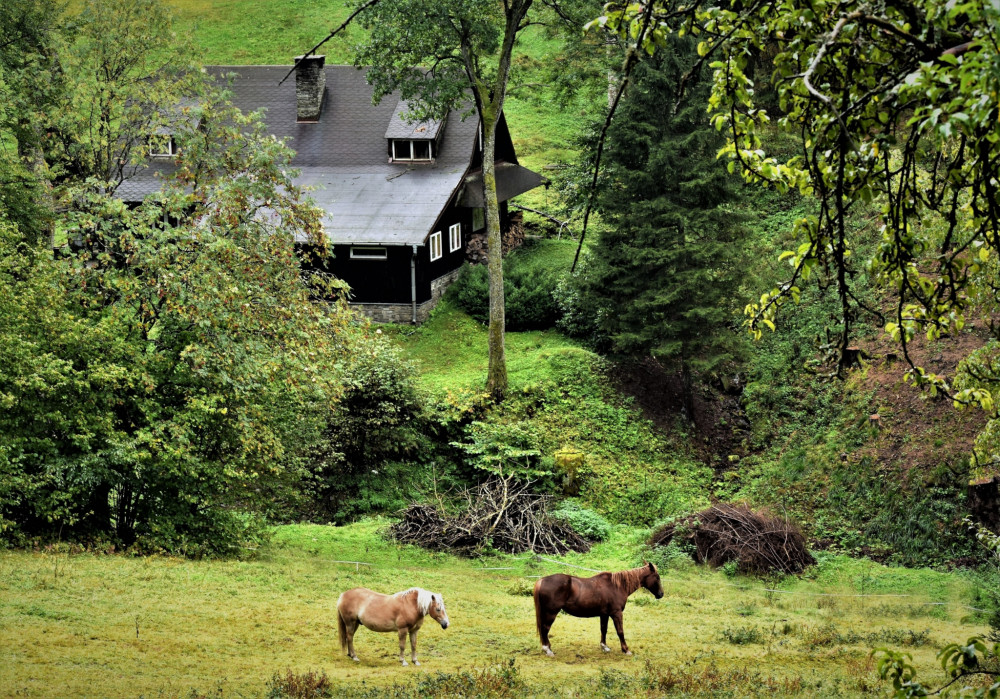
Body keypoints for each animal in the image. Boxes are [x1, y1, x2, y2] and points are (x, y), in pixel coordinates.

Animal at [532, 560, 664, 660]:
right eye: (657, 577)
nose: (661, 594)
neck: (617, 586)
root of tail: (542, 580)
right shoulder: (616, 613)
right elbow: (620, 631)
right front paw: (626, 650)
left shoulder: (604, 614)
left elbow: (603, 629)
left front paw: (604, 647)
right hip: (551, 613)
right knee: (545, 629)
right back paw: (547, 650)